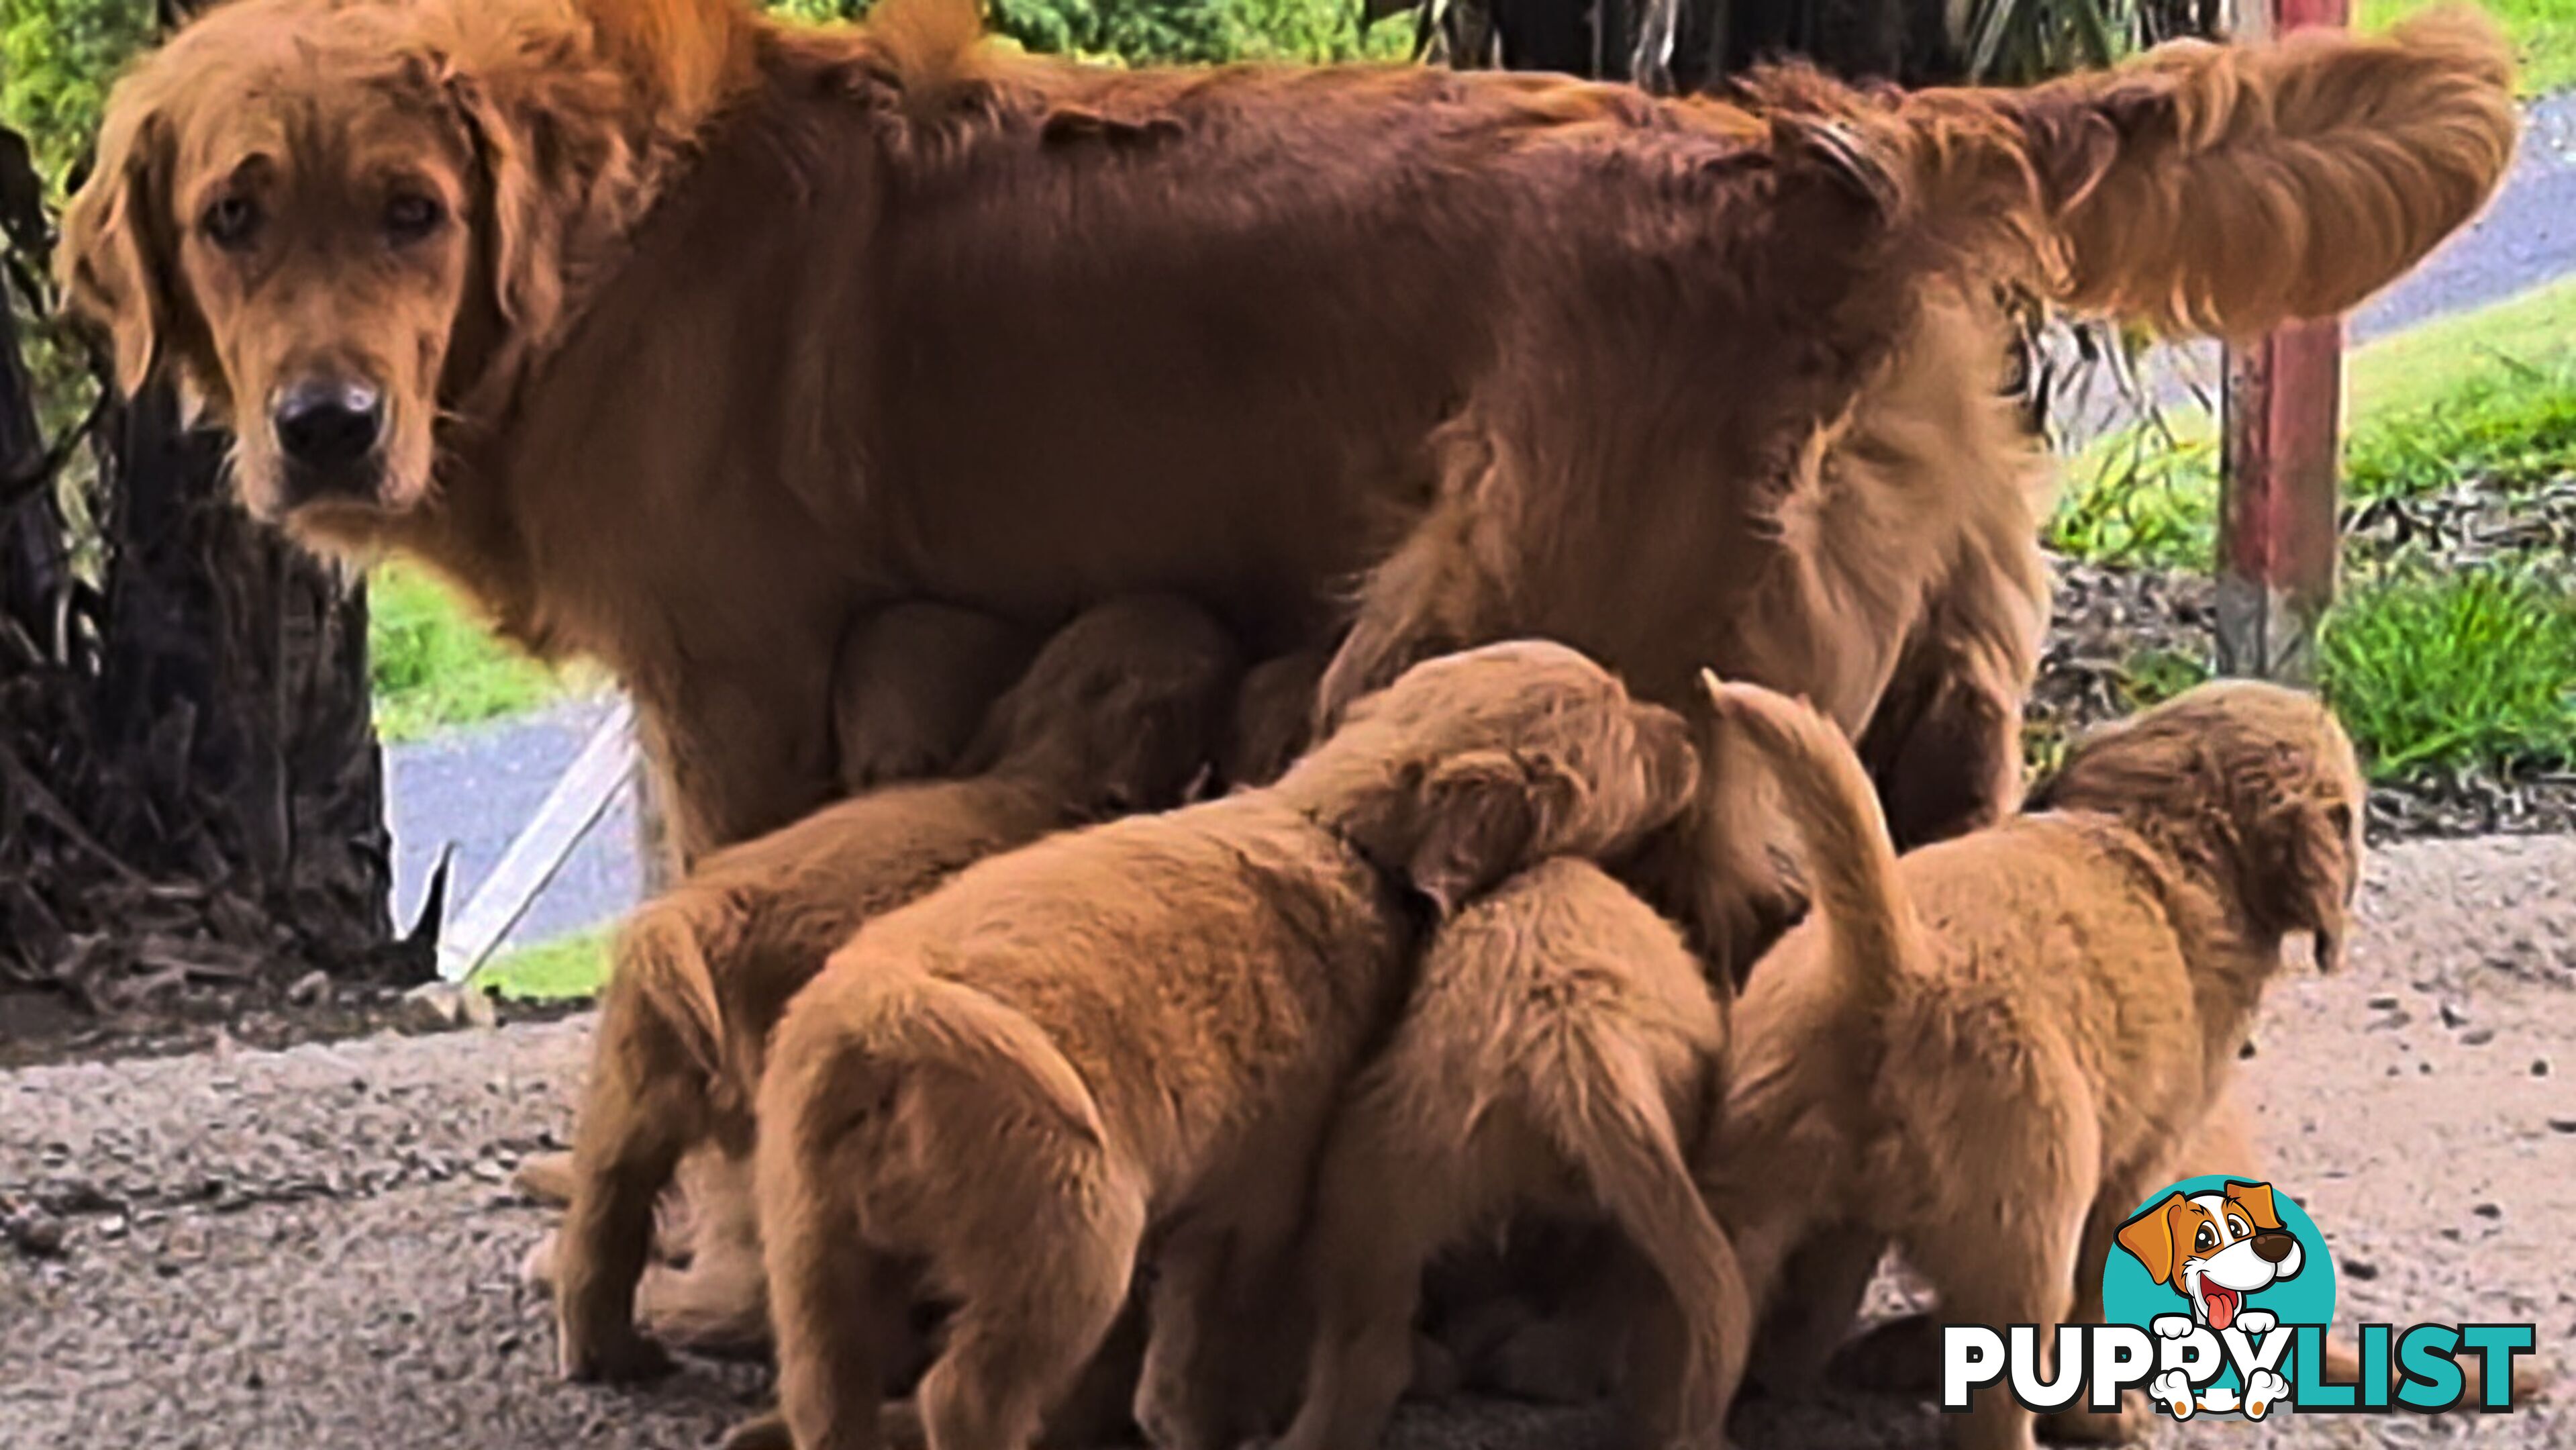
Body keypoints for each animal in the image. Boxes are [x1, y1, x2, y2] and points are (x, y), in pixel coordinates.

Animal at [548, 597, 1241, 1380]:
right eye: (1199, 665)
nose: (1206, 612)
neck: (1041, 771)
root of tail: (697, 922)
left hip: (629, 1093)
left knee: (604, 1218)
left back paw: (612, 1353)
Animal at [1679, 679, 2359, 1450]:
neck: (2161, 838)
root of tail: (1900, 965)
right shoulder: (2140, 1163)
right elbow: (2099, 1296)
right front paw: (2101, 1415)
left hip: (1744, 1206)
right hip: (2029, 1227)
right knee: (1998, 1398)